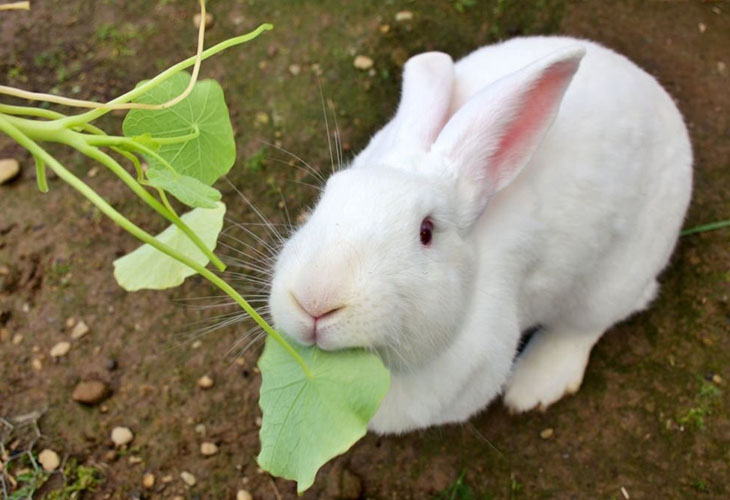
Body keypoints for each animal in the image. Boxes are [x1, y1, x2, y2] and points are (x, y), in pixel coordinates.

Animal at [266, 36, 688, 434]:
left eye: (426, 232)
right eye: (326, 196)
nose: (315, 300)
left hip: (612, 281)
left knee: (587, 324)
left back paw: (534, 386)